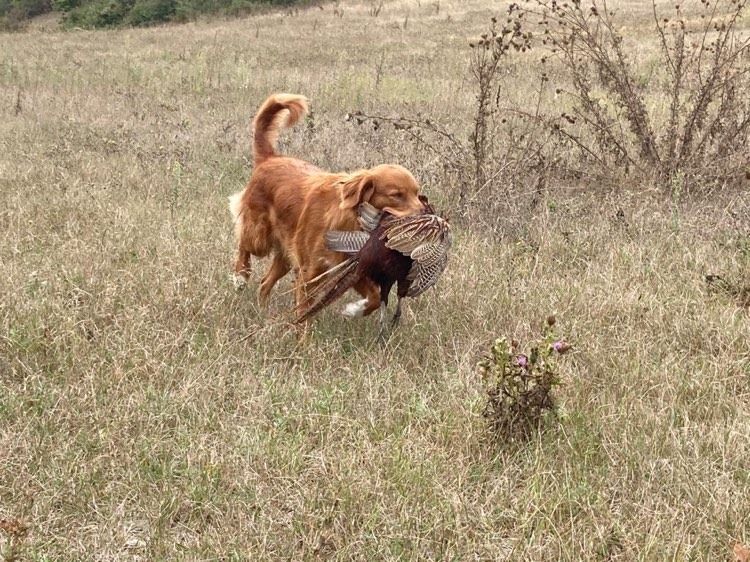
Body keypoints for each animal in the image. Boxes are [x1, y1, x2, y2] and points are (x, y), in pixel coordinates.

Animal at [229, 94, 426, 318]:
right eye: (397, 195)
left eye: (417, 194)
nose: (427, 215)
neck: (351, 221)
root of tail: (270, 158)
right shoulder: (310, 273)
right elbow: (303, 313)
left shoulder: (350, 270)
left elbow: (375, 298)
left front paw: (354, 310)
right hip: (259, 236)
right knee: (243, 244)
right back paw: (240, 277)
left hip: (286, 254)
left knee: (264, 283)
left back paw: (261, 311)